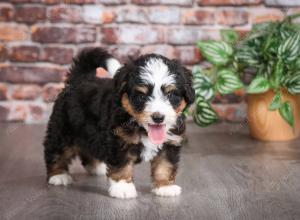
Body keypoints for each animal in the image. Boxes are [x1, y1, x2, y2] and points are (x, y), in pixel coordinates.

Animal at [44, 47, 195, 199]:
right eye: (141, 96)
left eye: (170, 94)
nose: (158, 117)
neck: (141, 127)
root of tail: (79, 79)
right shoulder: (119, 140)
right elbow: (122, 165)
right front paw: (123, 187)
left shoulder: (170, 143)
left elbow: (165, 165)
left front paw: (165, 187)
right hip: (63, 130)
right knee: (56, 151)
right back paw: (58, 175)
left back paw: (97, 167)